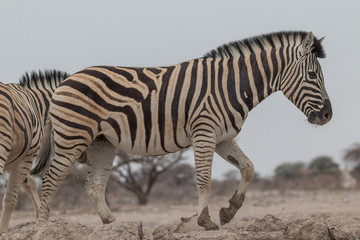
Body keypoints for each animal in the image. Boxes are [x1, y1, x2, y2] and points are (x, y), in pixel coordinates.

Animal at [0, 70, 69, 233]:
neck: (38, 105)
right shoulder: (26, 157)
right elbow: (12, 196)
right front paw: (3, 231)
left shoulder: (15, 159)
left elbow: (28, 183)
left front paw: (40, 217)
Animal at [35, 31, 332, 230]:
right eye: (313, 76)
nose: (328, 116)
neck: (233, 85)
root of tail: (64, 83)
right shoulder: (204, 132)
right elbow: (204, 179)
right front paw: (205, 220)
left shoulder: (223, 138)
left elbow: (248, 168)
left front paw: (229, 211)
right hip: (72, 137)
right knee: (49, 181)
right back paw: (43, 228)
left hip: (101, 142)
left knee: (93, 186)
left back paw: (113, 224)